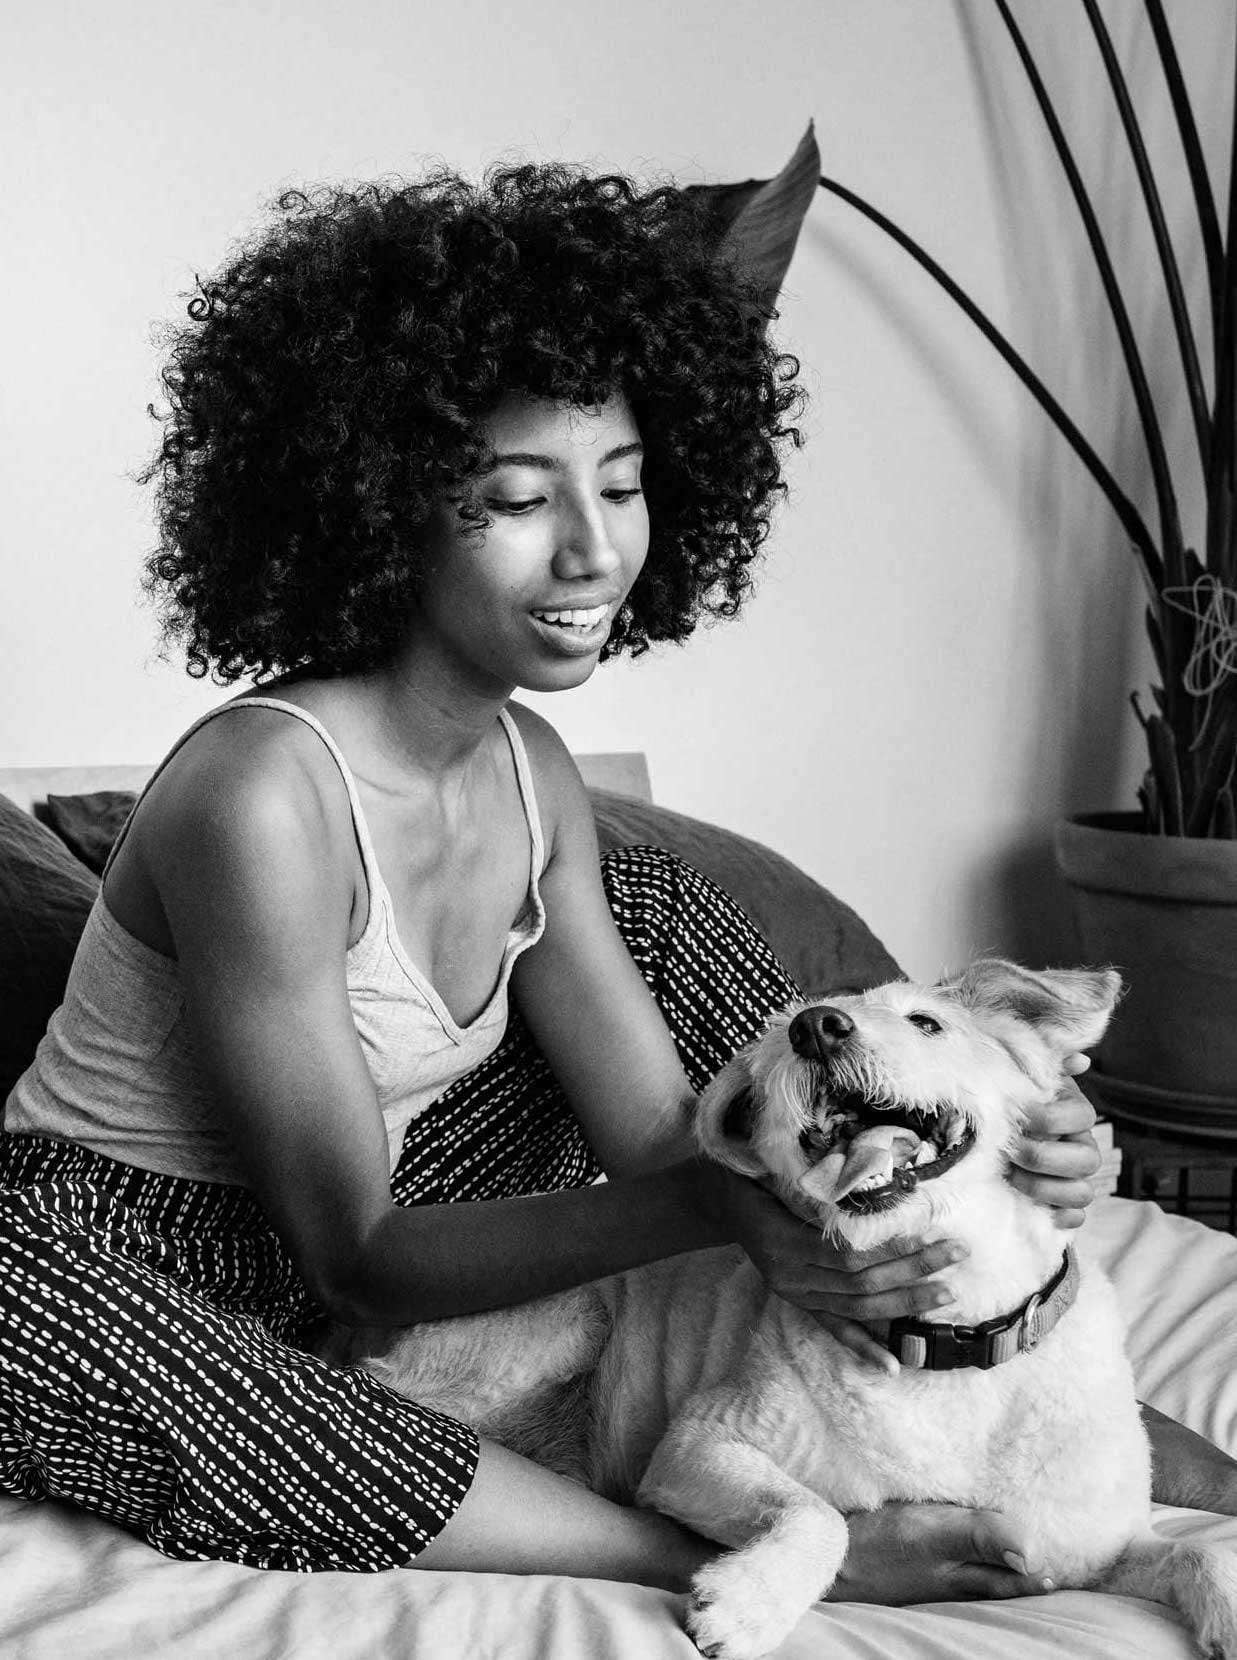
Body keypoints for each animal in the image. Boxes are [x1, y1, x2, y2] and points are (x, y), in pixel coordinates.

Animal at [328, 962, 1235, 1660]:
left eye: (927, 1022)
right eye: (772, 1060)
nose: (816, 1028)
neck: (948, 1343)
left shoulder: (1086, 1547)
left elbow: (1195, 1557)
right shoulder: (698, 1447)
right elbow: (819, 1512)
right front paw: (749, 1603)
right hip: (564, 1325)